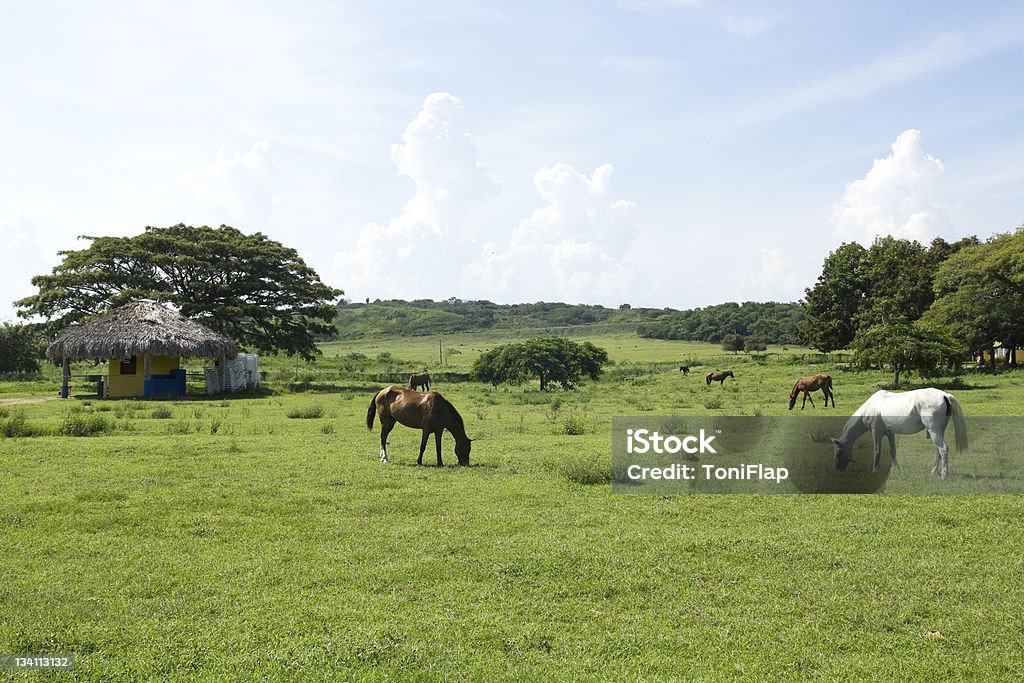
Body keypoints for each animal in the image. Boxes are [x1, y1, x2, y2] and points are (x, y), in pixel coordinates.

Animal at [831, 387, 966, 479]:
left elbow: (877, 452)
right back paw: (934, 472)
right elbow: (892, 451)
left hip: (934, 431)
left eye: (838, 452)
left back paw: (943, 475)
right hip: (939, 431)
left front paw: (875, 471)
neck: (870, 408)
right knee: (938, 450)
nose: (836, 469)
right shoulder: (890, 433)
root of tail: (945, 395)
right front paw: (896, 469)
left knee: (943, 449)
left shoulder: (876, 433)